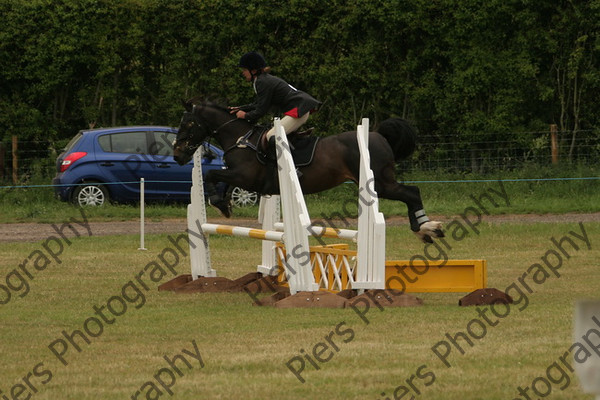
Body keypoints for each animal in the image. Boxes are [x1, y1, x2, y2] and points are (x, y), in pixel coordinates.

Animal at [171, 101, 442, 242]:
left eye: (188, 124)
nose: (177, 155)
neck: (240, 138)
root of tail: (378, 135)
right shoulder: (237, 175)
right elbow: (218, 180)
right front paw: (223, 204)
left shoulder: (244, 176)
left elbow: (212, 175)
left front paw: (220, 202)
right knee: (411, 192)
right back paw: (425, 230)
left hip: (380, 183)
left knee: (411, 192)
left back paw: (427, 228)